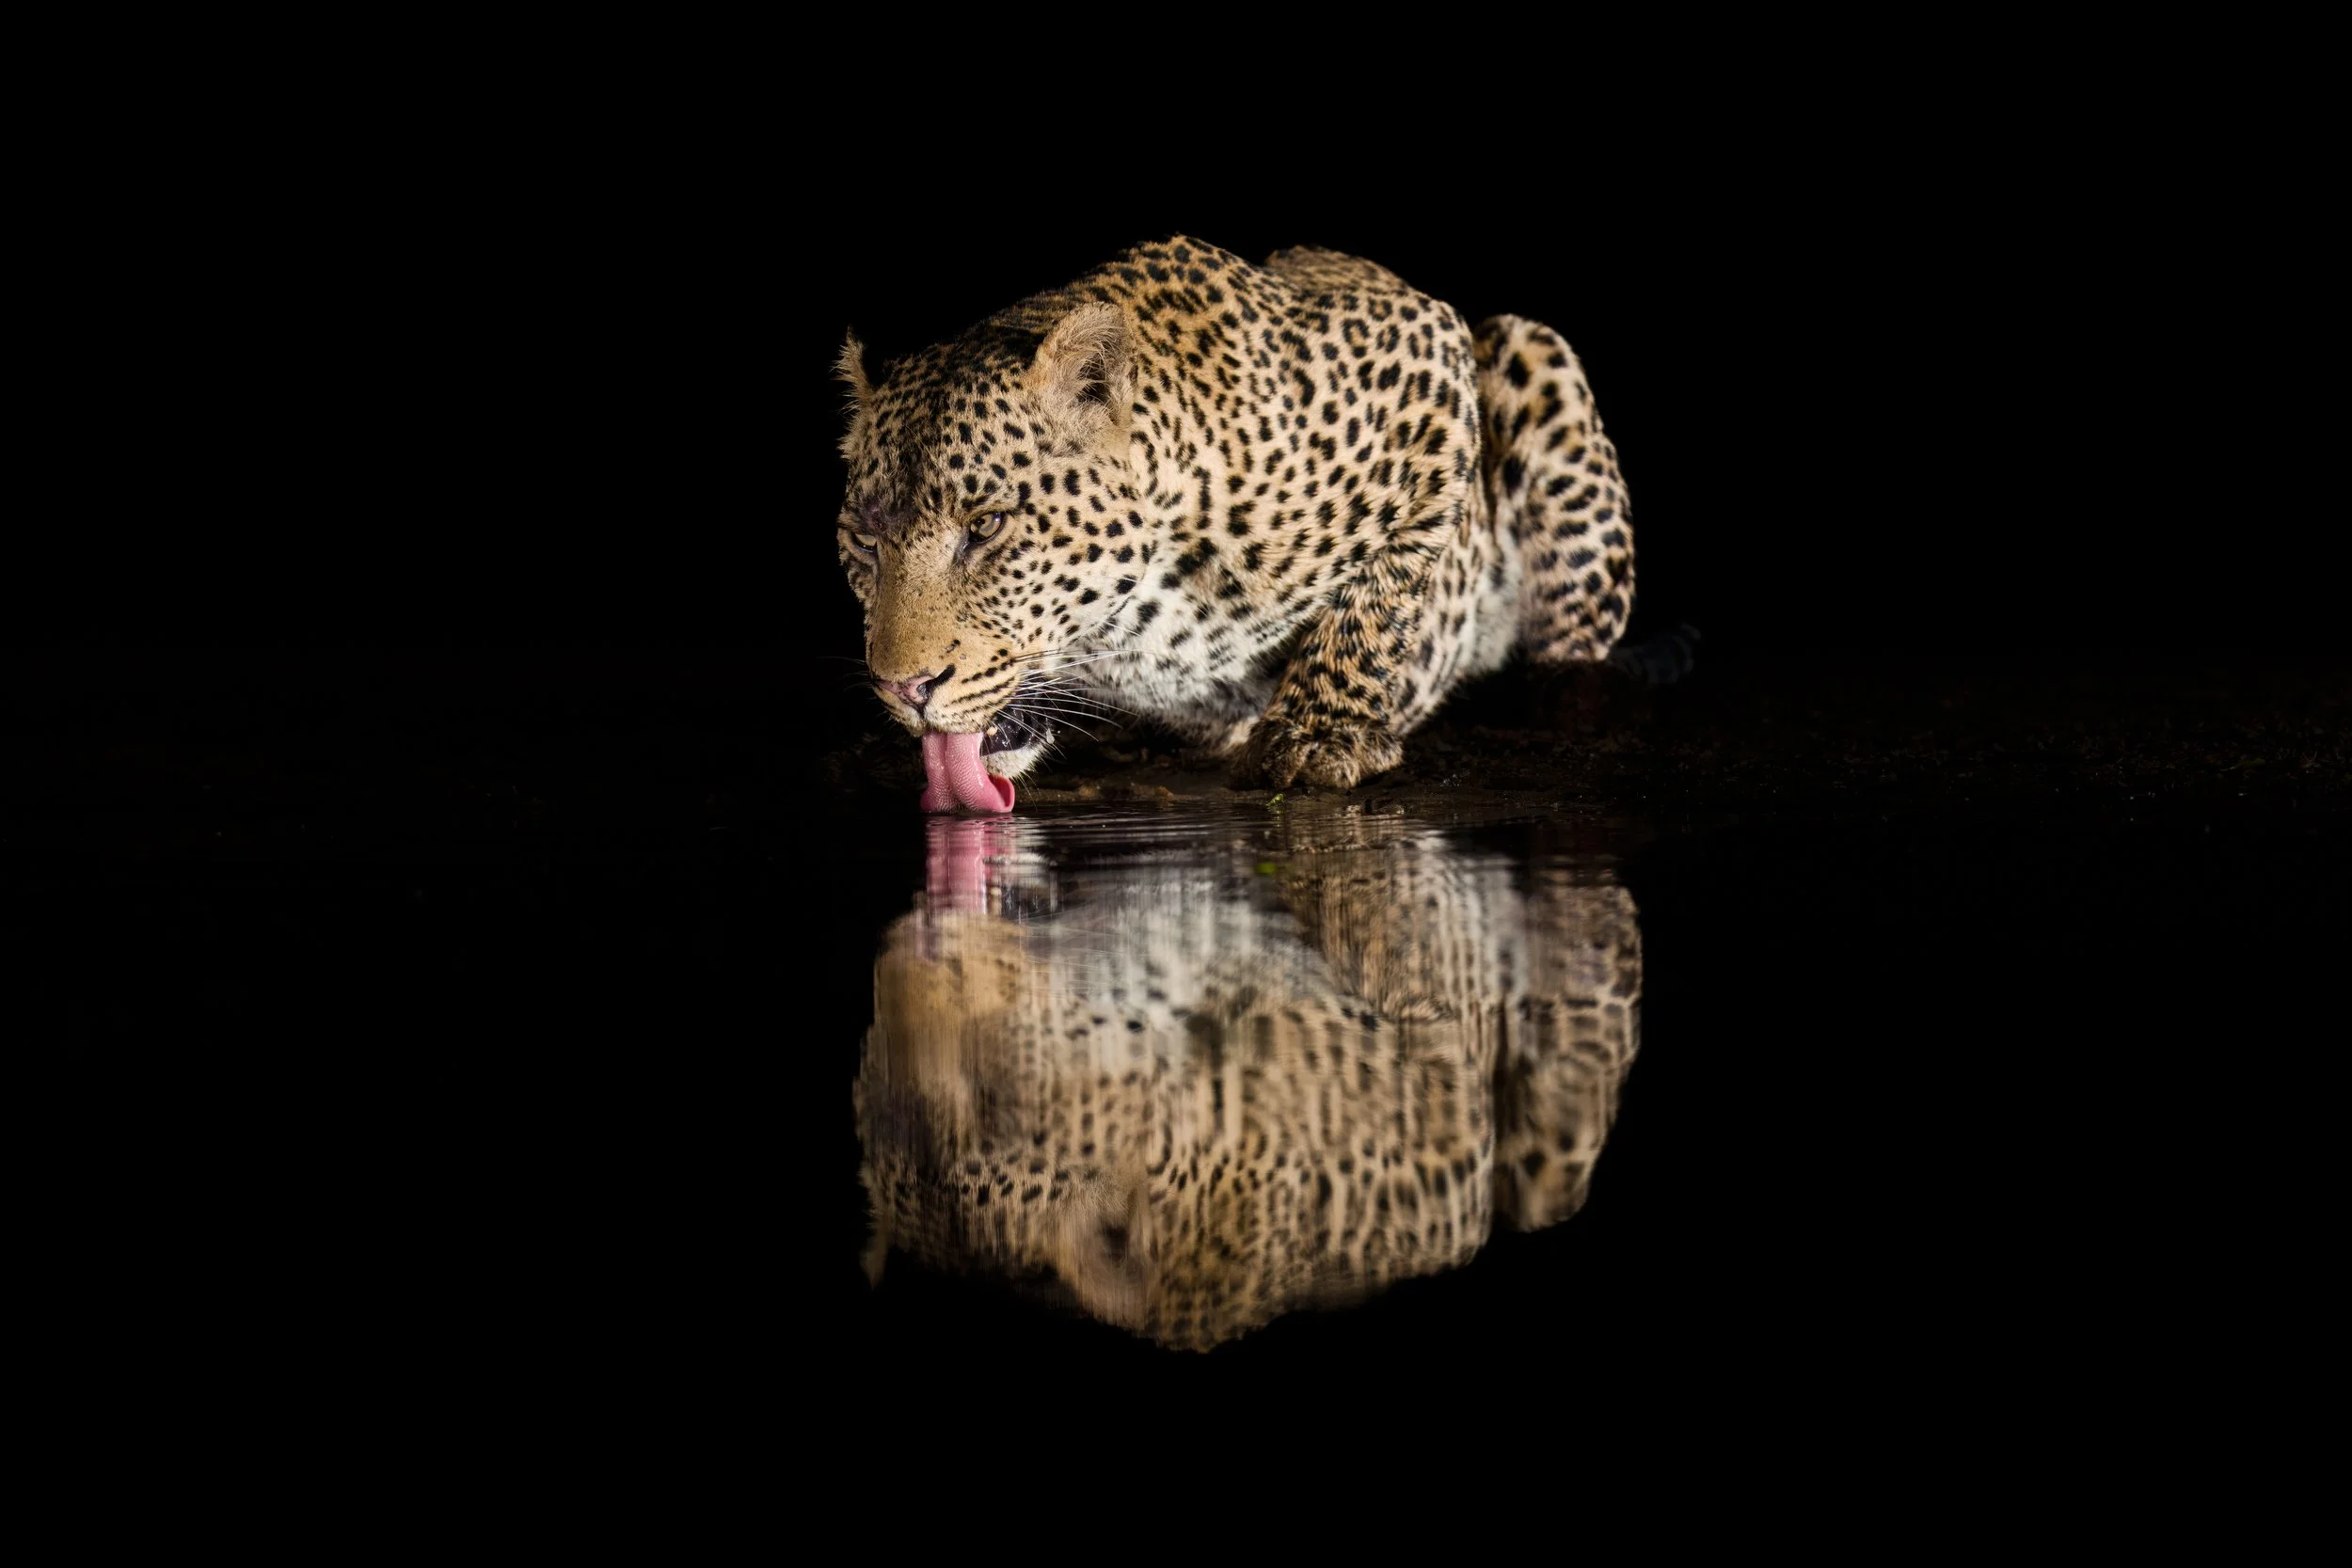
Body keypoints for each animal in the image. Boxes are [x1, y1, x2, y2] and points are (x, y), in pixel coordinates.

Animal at [833, 236, 1636, 811]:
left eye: (988, 525)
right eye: (866, 542)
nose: (907, 688)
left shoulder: (1429, 368)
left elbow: (1381, 589)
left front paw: (1319, 731)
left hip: (1536, 361)